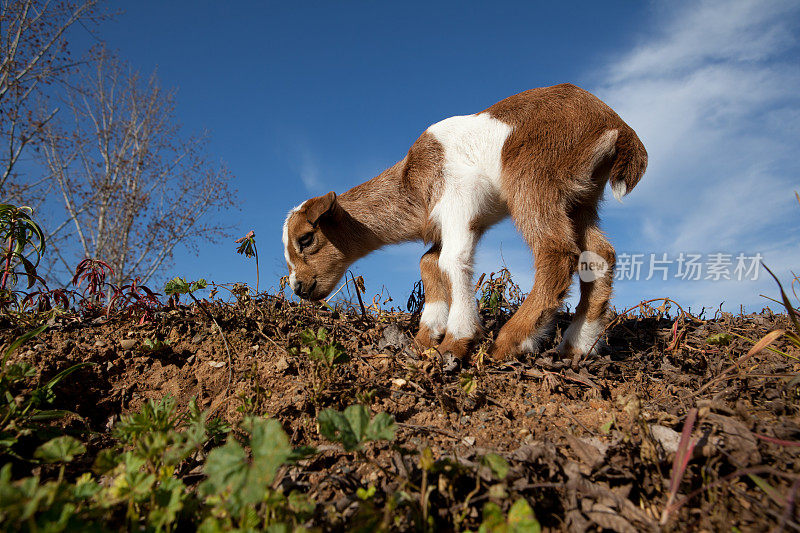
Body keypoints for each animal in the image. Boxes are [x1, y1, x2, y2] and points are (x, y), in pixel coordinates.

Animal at [280, 84, 644, 362]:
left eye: (306, 238)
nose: (298, 287)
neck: (412, 182)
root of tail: (616, 125)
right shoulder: (460, 221)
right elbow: (429, 262)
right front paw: (425, 337)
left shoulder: (459, 199)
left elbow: (451, 261)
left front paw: (456, 341)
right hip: (581, 197)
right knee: (599, 255)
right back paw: (578, 344)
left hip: (534, 174)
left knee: (556, 251)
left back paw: (513, 340)